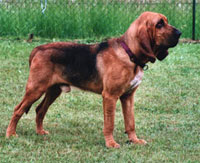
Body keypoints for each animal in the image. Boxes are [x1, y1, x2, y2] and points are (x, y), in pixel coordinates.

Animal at [6, 12, 181, 148]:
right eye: (159, 24)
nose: (180, 33)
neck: (129, 53)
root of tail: (37, 49)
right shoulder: (110, 96)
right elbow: (109, 123)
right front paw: (110, 144)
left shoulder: (128, 97)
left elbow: (130, 122)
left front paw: (134, 140)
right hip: (35, 89)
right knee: (18, 109)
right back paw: (11, 134)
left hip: (53, 90)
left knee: (40, 110)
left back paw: (40, 132)